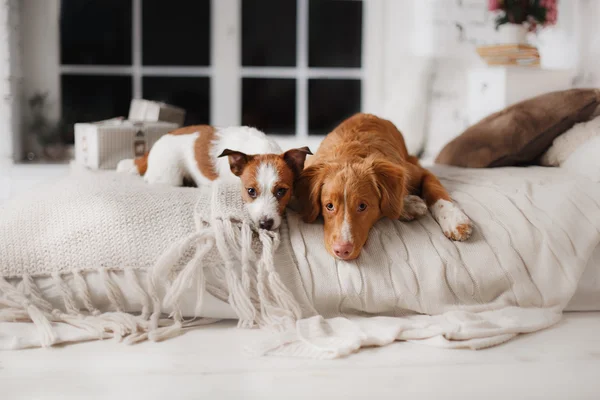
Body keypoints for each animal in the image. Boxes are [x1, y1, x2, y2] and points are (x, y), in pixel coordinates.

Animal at [296, 114, 474, 260]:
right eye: (329, 206)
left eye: (362, 206)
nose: (342, 250)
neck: (350, 153)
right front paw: (409, 205)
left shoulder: (416, 172)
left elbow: (435, 190)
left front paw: (454, 219)